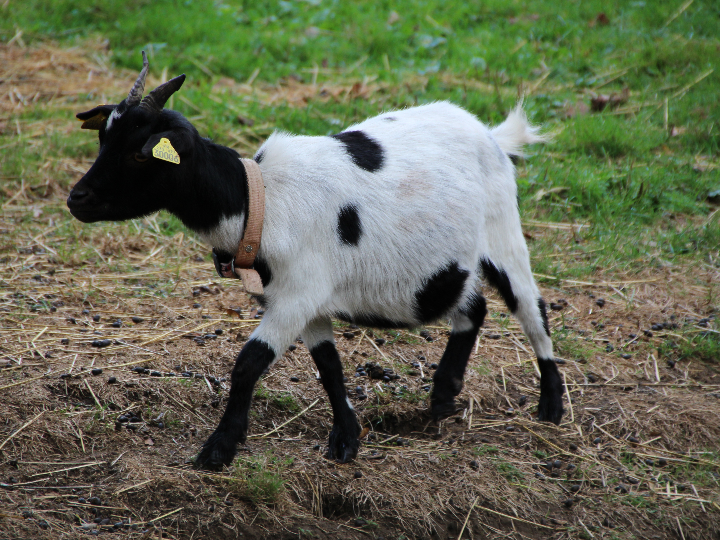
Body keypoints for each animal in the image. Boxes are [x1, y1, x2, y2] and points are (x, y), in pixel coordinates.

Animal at [67, 53, 564, 469]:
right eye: (103, 138)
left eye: (140, 153)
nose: (77, 199)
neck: (260, 201)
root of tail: (491, 134)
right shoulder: (306, 300)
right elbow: (329, 366)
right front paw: (346, 439)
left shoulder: (298, 294)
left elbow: (248, 363)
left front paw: (218, 449)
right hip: (446, 264)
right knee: (473, 306)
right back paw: (443, 395)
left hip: (502, 231)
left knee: (531, 308)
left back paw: (552, 406)